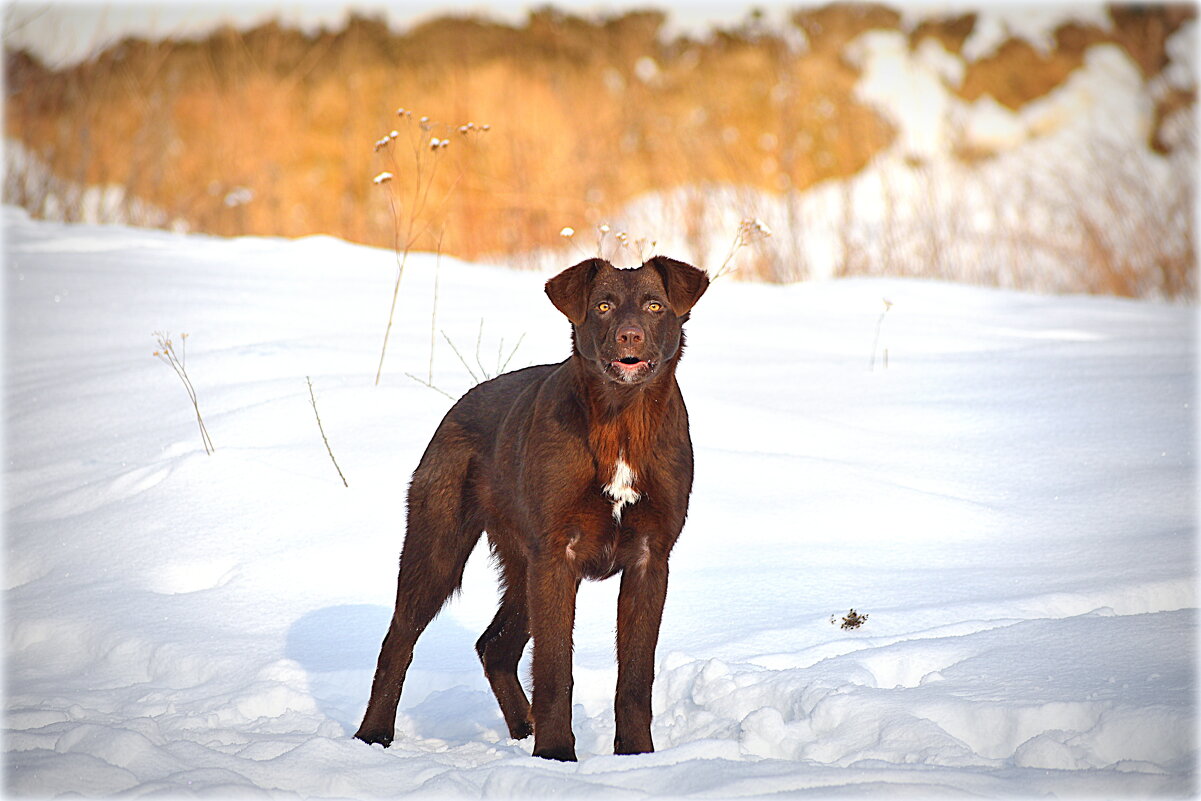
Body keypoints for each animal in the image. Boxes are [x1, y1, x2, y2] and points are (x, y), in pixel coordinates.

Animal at [355, 253, 706, 763]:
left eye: (655, 306)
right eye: (603, 306)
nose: (630, 336)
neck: (621, 421)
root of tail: (458, 406)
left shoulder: (649, 558)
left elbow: (636, 678)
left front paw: (637, 756)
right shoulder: (558, 556)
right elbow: (555, 668)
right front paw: (557, 754)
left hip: (522, 567)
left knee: (494, 647)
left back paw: (524, 727)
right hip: (440, 548)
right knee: (398, 640)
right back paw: (373, 735)